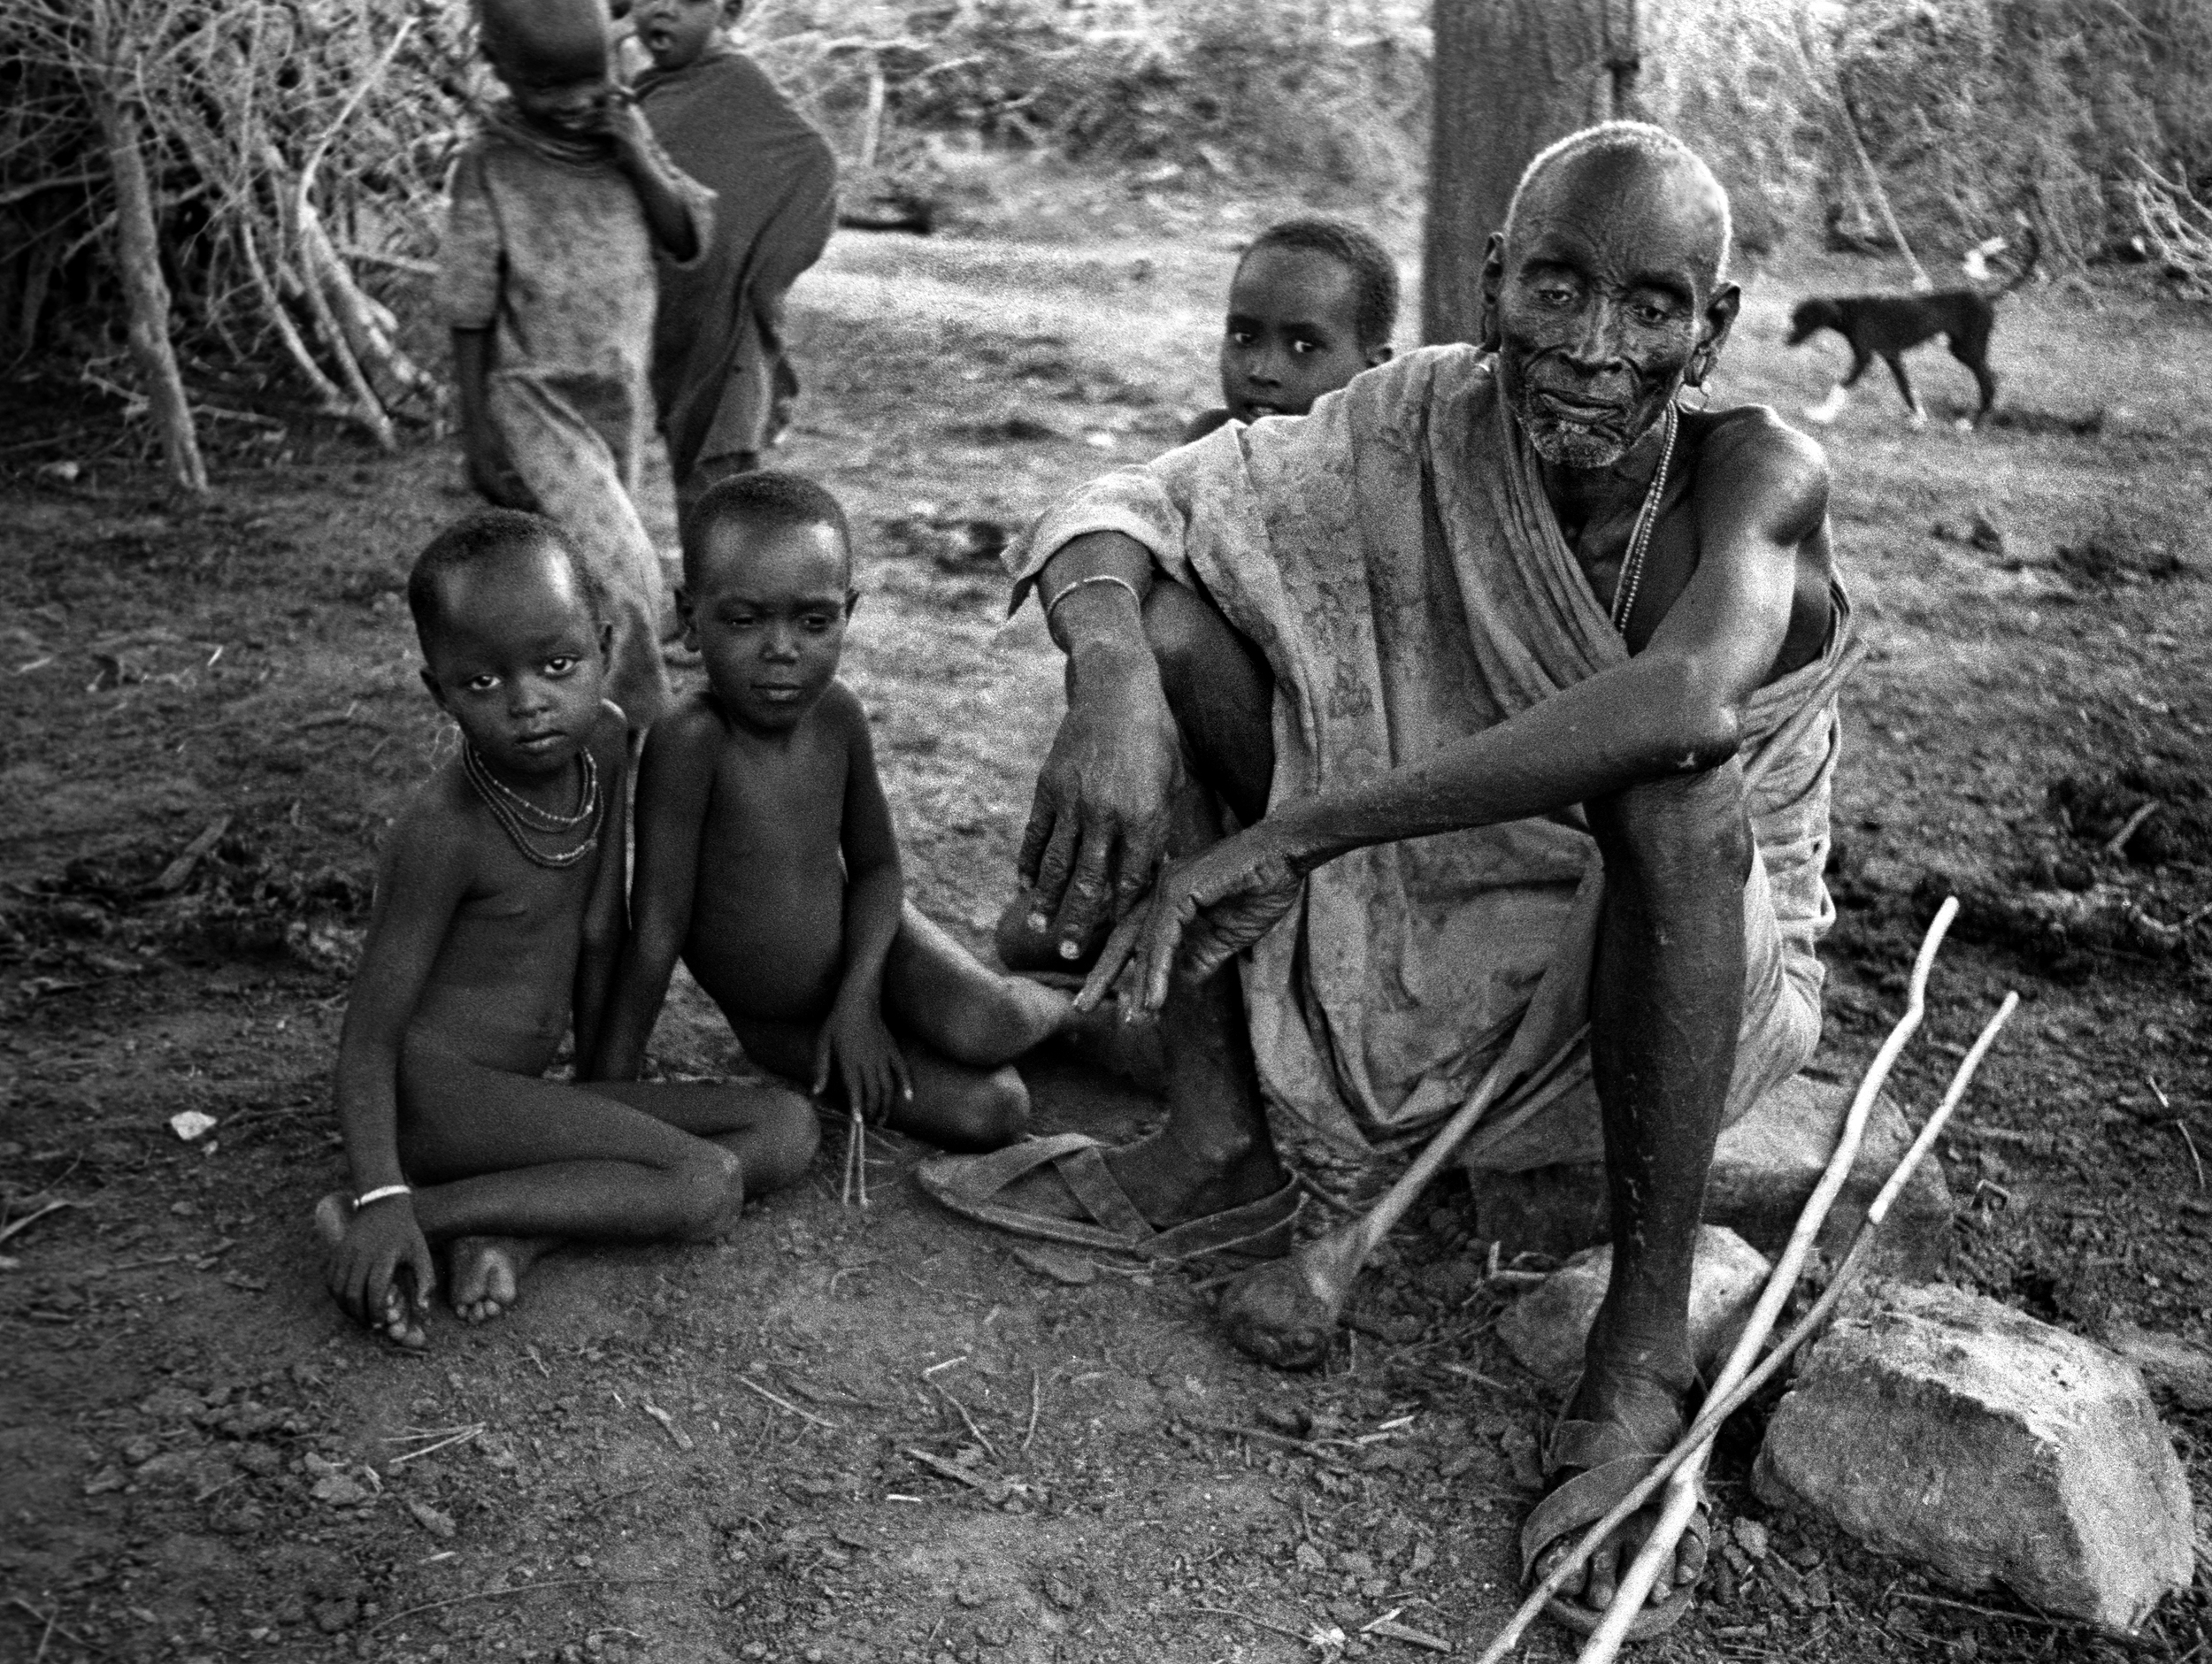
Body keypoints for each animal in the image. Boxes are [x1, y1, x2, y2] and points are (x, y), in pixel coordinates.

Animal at [1778, 227, 2035, 435]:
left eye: (1802, 320)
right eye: (1795, 319)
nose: (1786, 341)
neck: (1852, 312)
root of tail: (1986, 297)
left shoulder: (1864, 357)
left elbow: (1840, 386)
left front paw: (1821, 414)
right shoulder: (1892, 355)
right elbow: (1906, 389)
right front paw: (1919, 419)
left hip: (1968, 350)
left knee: (1989, 385)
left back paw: (1970, 425)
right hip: (1962, 349)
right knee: (1991, 379)